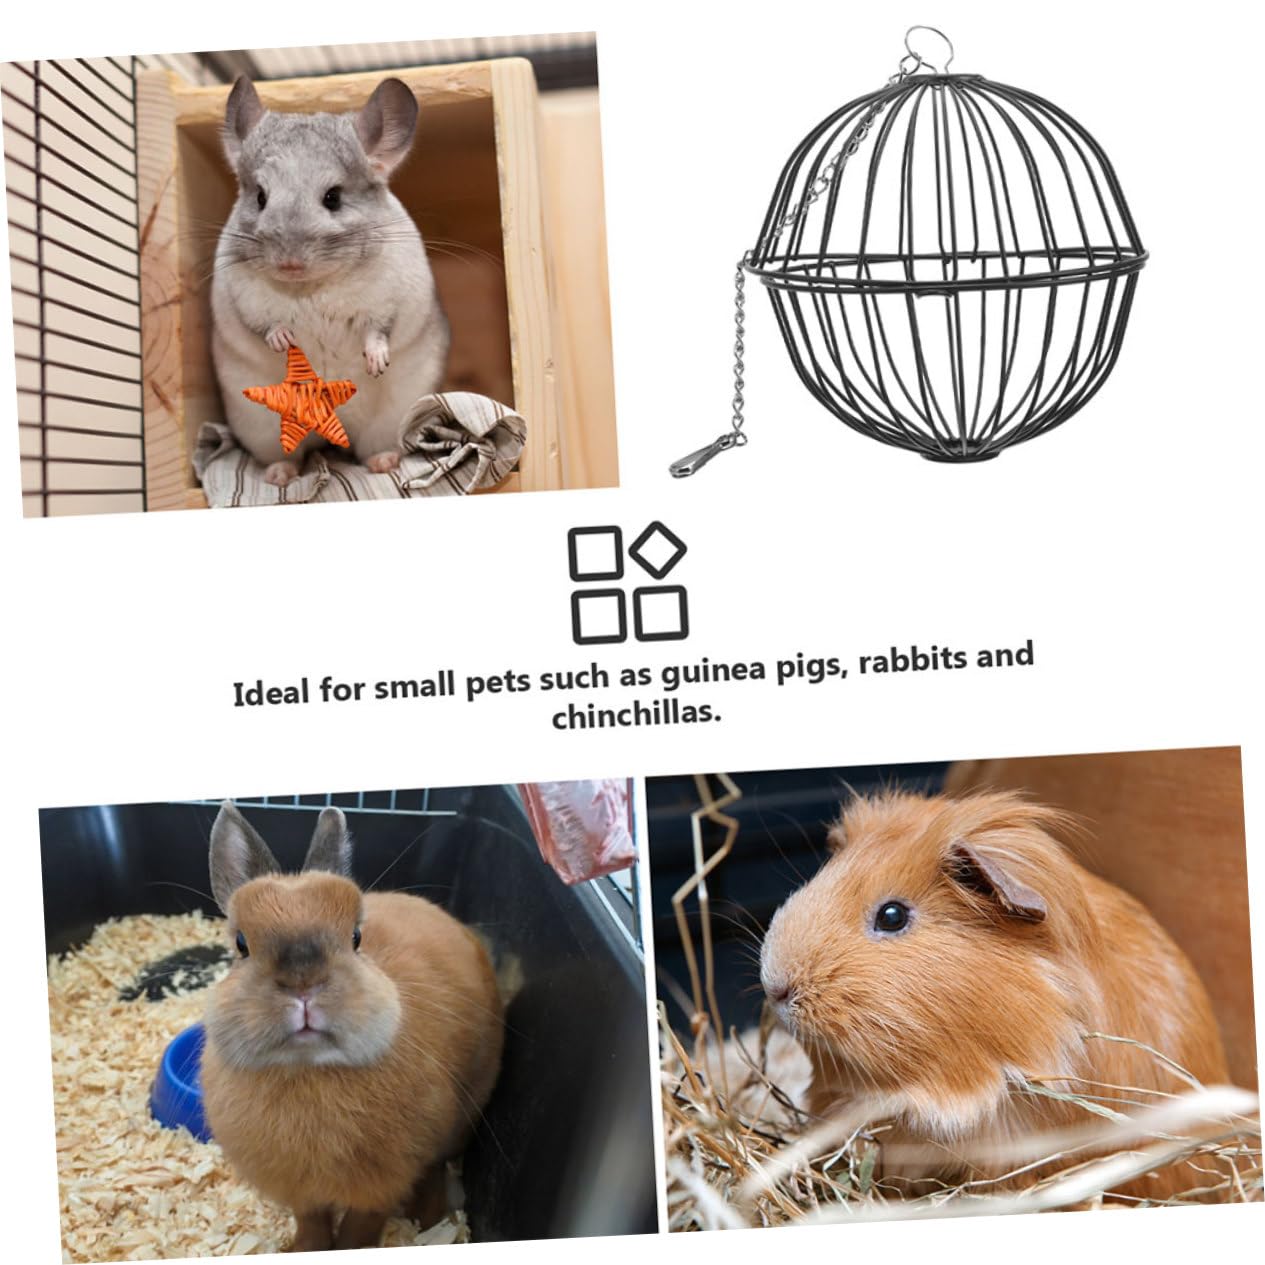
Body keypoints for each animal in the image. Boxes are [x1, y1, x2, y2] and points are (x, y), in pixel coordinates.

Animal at [200, 802, 503, 1250]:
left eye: (357, 937)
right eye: (241, 944)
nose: (304, 984)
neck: (309, 1070)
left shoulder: (383, 1183)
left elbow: (359, 1228)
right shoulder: (302, 1193)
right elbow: (312, 1223)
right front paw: (302, 1249)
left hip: (460, 1117)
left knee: (435, 1170)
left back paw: (429, 1221)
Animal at [210, 77, 450, 487]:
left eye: (333, 197)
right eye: (260, 197)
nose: (289, 262)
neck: (310, 287)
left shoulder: (392, 297)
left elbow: (378, 329)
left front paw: (376, 361)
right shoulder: (244, 299)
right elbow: (263, 325)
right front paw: (282, 340)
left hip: (393, 417)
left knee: (373, 448)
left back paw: (384, 462)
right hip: (260, 426)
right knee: (289, 455)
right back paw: (280, 475)